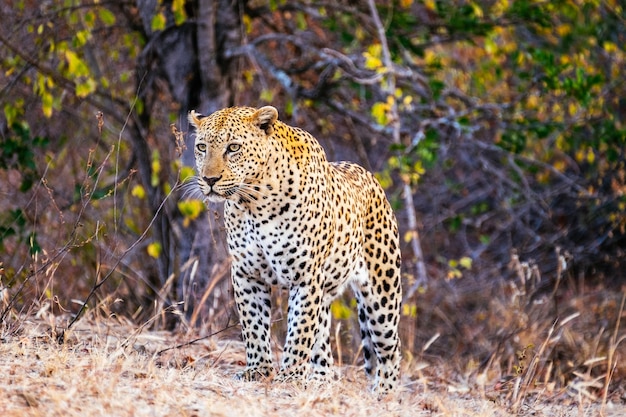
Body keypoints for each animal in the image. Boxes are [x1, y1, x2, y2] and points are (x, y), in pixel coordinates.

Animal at [186, 104, 400, 394]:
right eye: (201, 147)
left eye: (233, 148)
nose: (209, 179)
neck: (254, 202)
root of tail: (372, 179)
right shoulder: (246, 274)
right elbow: (254, 326)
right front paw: (258, 371)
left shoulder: (306, 277)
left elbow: (299, 330)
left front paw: (289, 376)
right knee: (324, 350)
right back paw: (319, 381)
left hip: (382, 293)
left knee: (390, 349)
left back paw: (384, 393)